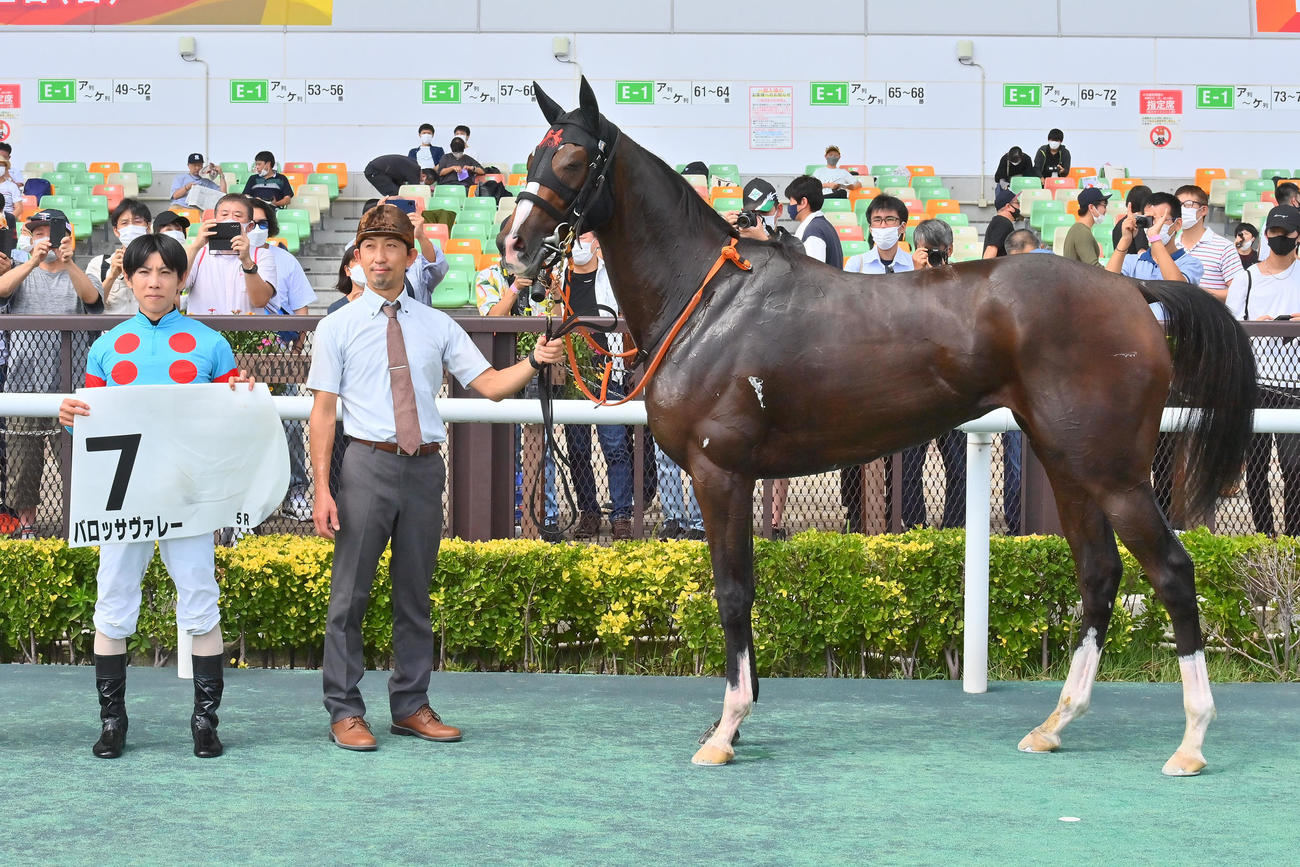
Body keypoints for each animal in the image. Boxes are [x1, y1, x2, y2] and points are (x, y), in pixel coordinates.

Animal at [500, 76, 1257, 775]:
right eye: (532, 155)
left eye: (573, 159)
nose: (513, 247)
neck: (708, 301)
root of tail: (1132, 288)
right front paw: (735, 723)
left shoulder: (722, 474)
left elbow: (733, 591)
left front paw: (726, 729)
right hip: (1067, 463)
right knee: (1099, 575)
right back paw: (1055, 723)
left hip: (1114, 471)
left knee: (1170, 570)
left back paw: (1191, 740)